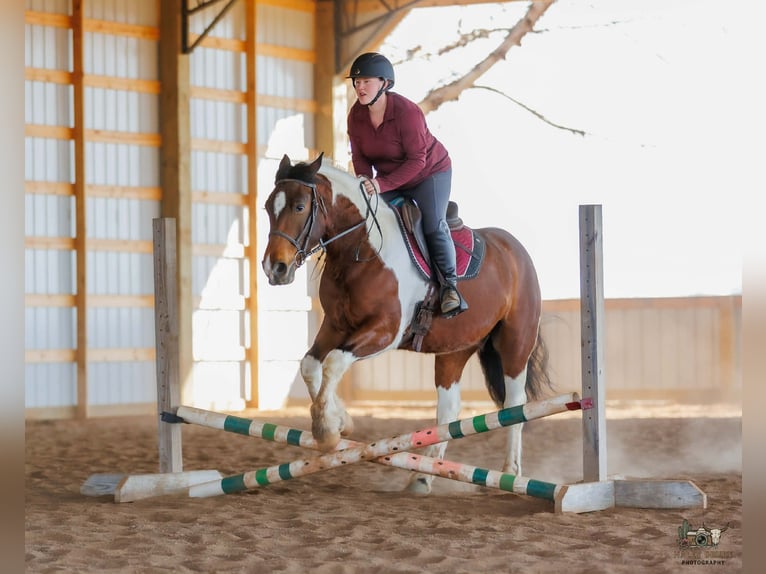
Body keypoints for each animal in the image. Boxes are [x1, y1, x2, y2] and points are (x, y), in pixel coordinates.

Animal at [261, 153, 551, 494]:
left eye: (299, 207)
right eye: (267, 207)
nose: (275, 268)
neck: (361, 250)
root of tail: (516, 250)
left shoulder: (385, 331)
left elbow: (334, 362)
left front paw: (326, 429)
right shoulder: (335, 325)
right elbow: (311, 365)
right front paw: (341, 420)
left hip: (515, 342)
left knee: (514, 403)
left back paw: (510, 473)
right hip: (455, 348)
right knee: (449, 408)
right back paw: (423, 477)